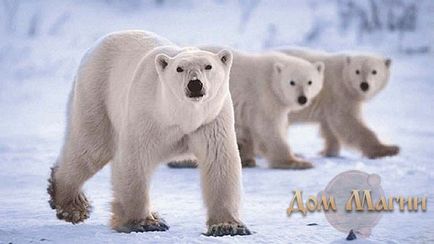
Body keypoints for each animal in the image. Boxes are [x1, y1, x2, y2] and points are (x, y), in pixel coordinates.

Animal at [46, 30, 251, 236]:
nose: (195, 85)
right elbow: (135, 160)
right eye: (179, 69)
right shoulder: (147, 113)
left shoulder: (211, 120)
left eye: (208, 66)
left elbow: (219, 162)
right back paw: (73, 205)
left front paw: (227, 226)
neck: (180, 115)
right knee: (92, 148)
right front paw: (144, 222)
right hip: (96, 93)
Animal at [171, 48, 324, 169]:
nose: (302, 98)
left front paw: (247, 159)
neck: (272, 76)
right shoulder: (263, 96)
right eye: (292, 82)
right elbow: (268, 127)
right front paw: (297, 162)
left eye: (310, 82)